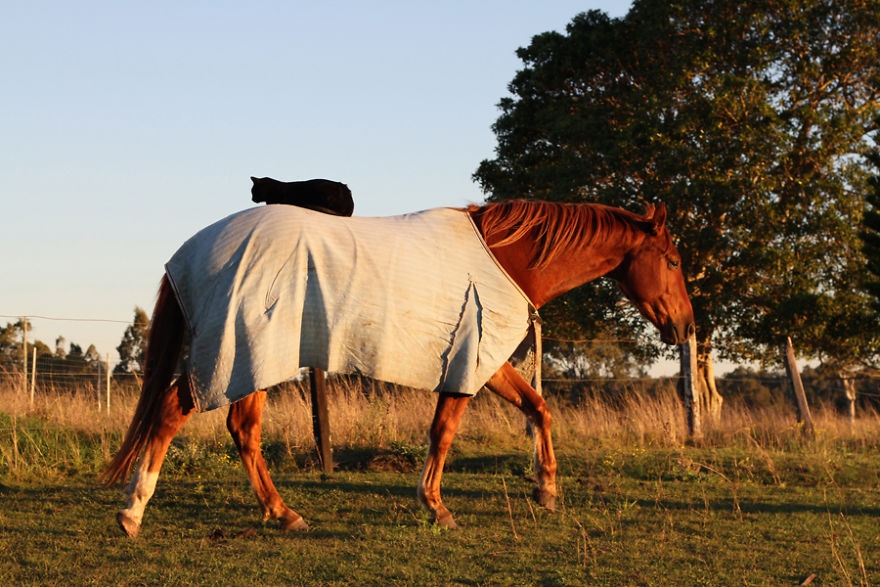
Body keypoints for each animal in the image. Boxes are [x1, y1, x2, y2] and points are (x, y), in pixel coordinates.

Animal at [101, 200, 694, 536]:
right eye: (672, 260)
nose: (685, 326)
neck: (507, 259)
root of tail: (191, 252)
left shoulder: (486, 363)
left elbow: (538, 408)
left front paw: (545, 490)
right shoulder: (467, 361)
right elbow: (443, 433)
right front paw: (436, 507)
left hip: (255, 360)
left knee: (240, 430)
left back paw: (280, 513)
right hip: (242, 354)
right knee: (178, 413)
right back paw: (134, 511)